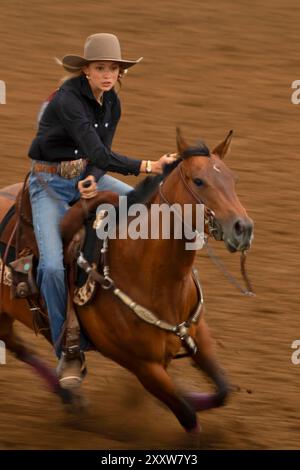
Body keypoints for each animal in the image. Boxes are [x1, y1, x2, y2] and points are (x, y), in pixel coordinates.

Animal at [0, 129, 253, 434]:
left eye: (233, 179)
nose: (243, 228)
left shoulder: (198, 332)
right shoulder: (143, 367)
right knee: (18, 345)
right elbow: (187, 415)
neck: (154, 278)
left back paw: (70, 397)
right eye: (199, 181)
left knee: (18, 345)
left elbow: (222, 390)